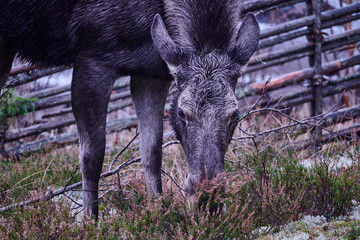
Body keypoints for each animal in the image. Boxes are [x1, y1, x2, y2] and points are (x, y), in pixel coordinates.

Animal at [0, 0, 258, 218]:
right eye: (182, 113)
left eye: (235, 114)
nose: (208, 201)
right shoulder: (91, 58)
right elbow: (92, 156)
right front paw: (89, 221)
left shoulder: (152, 74)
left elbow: (152, 152)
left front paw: (158, 213)